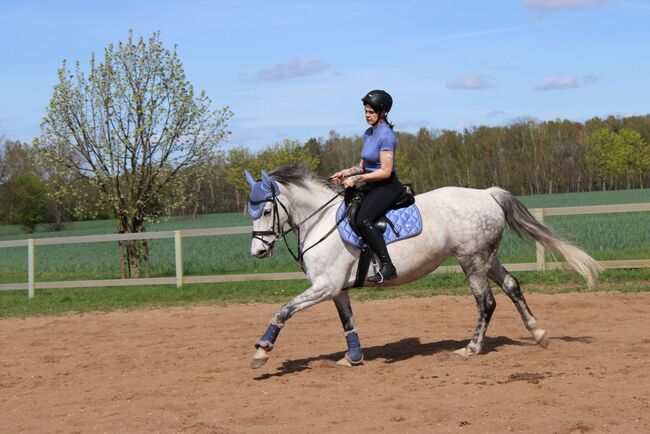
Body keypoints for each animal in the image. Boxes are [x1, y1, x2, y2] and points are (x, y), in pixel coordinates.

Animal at [246, 164, 600, 368]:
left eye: (266, 210)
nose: (258, 251)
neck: (320, 222)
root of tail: (487, 194)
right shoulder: (336, 289)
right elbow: (348, 322)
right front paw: (353, 357)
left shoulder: (325, 286)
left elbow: (284, 310)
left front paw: (262, 350)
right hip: (486, 257)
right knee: (512, 286)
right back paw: (538, 333)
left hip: (471, 260)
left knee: (486, 302)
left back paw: (470, 349)